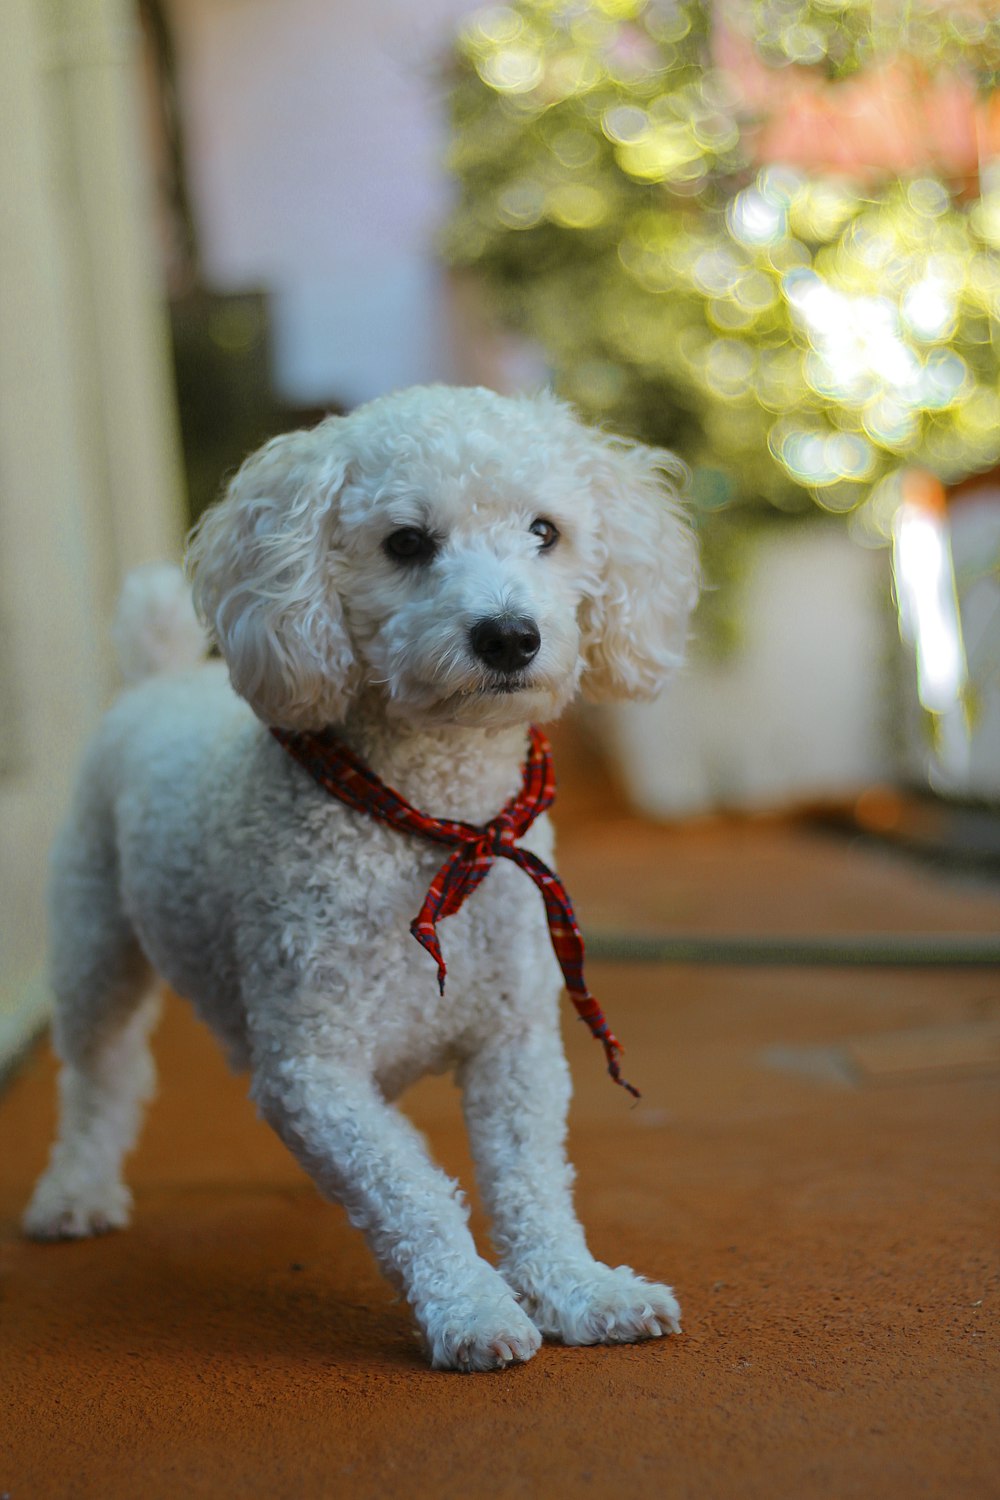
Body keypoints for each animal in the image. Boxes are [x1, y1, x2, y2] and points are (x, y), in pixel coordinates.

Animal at [21, 387, 695, 1374]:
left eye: (546, 530)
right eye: (406, 543)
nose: (509, 635)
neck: (432, 824)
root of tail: (155, 679)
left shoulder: (515, 1046)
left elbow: (531, 1182)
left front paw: (583, 1291)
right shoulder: (309, 1067)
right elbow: (408, 1193)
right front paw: (472, 1310)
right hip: (93, 948)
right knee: (99, 1077)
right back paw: (74, 1192)